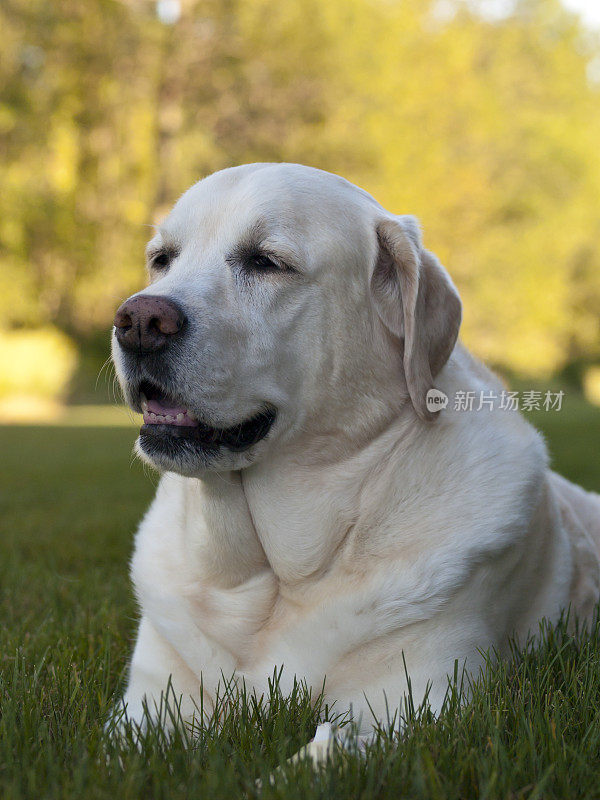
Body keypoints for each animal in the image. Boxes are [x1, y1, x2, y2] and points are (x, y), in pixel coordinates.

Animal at [111, 162, 600, 752]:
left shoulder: (419, 709)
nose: (139, 320)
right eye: (162, 259)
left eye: (266, 262)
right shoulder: (144, 706)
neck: (277, 576)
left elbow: (319, 753)